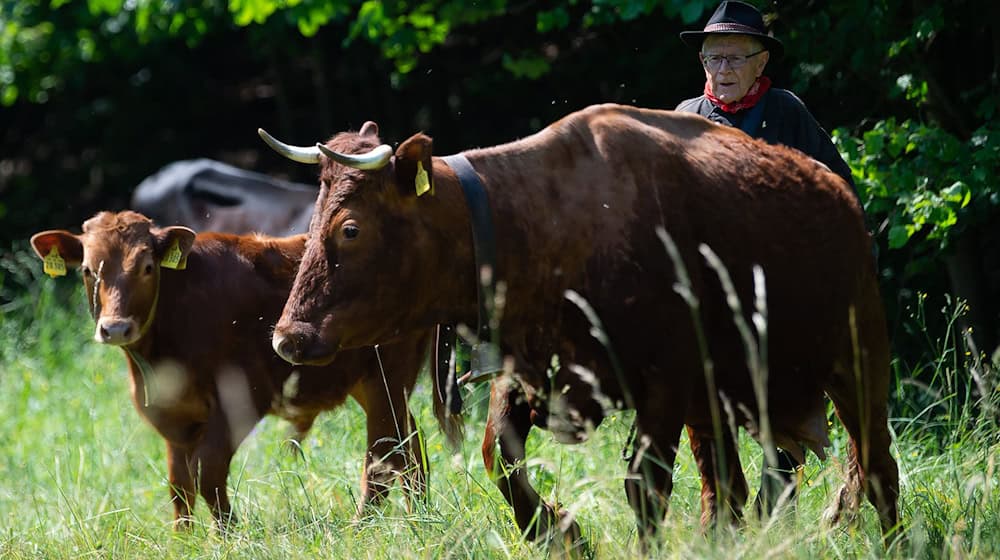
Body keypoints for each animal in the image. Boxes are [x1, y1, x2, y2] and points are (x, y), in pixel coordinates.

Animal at [32, 210, 446, 528]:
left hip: (386, 373)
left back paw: (362, 526)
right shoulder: (174, 414)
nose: (115, 327)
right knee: (410, 443)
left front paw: (228, 534)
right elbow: (179, 483)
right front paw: (183, 540)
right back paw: (419, 516)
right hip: (373, 380)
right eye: (88, 270)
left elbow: (207, 471)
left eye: (147, 267)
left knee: (384, 452)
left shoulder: (245, 395)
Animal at [258, 105, 900, 548]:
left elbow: (644, 487)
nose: (288, 337)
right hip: (720, 402)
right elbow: (500, 458)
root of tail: (837, 187)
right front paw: (562, 532)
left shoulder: (664, 385)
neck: (542, 225)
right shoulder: (530, 371)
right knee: (728, 489)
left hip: (858, 359)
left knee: (876, 468)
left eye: (350, 228)